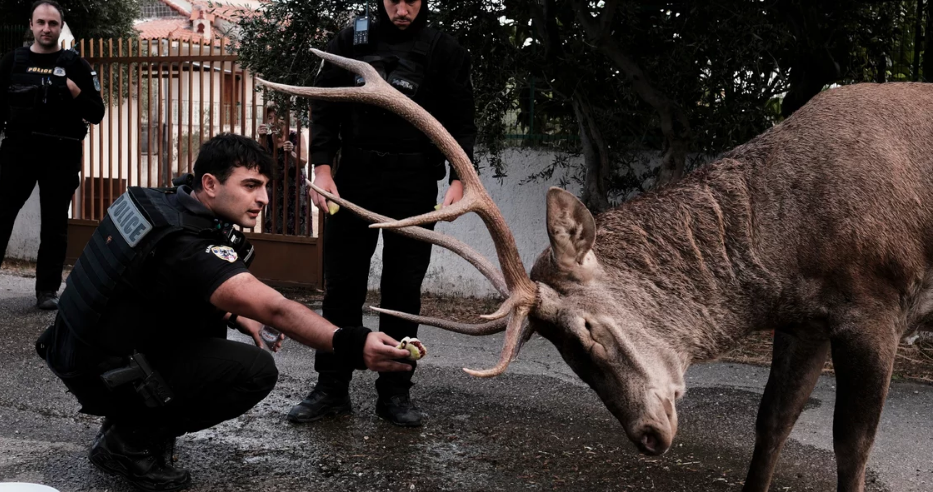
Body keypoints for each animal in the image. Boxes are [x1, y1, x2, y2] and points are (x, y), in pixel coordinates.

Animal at [258, 50, 932, 492]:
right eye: (566, 354)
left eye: (587, 330)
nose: (650, 437)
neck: (790, 246)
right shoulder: (803, 319)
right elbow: (771, 425)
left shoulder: (876, 306)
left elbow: (852, 446)